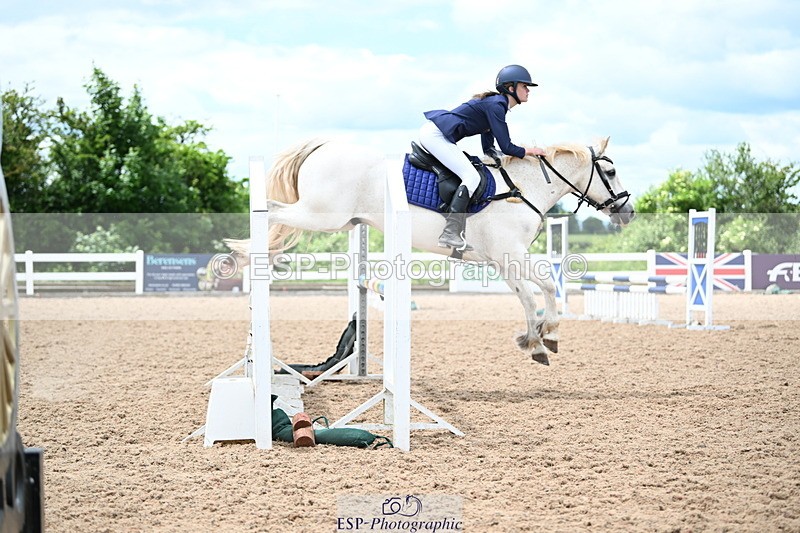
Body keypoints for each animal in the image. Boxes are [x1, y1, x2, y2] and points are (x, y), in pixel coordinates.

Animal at [229, 136, 635, 365]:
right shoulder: (512, 254)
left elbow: (527, 296)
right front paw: (546, 334)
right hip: (322, 215)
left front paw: (535, 341)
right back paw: (247, 258)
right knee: (271, 210)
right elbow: (546, 287)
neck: (523, 187)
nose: (627, 212)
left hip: (337, 221)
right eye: (612, 173)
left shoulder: (503, 261)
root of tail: (322, 146)